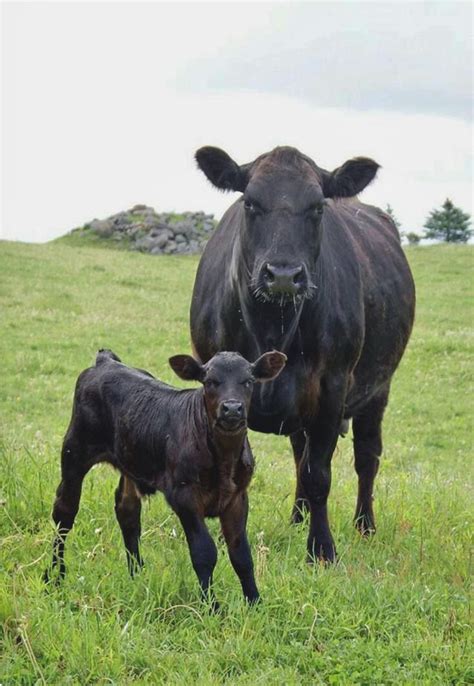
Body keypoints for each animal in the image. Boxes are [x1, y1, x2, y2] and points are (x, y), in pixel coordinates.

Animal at [45, 350, 286, 608]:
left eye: (248, 381)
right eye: (210, 382)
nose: (232, 408)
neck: (224, 459)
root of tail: (106, 361)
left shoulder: (238, 497)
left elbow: (241, 554)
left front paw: (255, 602)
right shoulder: (184, 496)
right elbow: (204, 552)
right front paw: (211, 606)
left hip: (129, 461)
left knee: (127, 512)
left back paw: (137, 575)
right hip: (74, 452)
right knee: (64, 513)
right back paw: (54, 577)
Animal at [189, 144, 414, 564]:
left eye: (318, 207)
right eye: (249, 202)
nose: (282, 275)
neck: (271, 327)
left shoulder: (332, 387)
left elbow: (319, 473)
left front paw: (321, 550)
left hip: (379, 388)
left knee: (366, 457)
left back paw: (364, 526)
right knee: (299, 451)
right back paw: (298, 516)